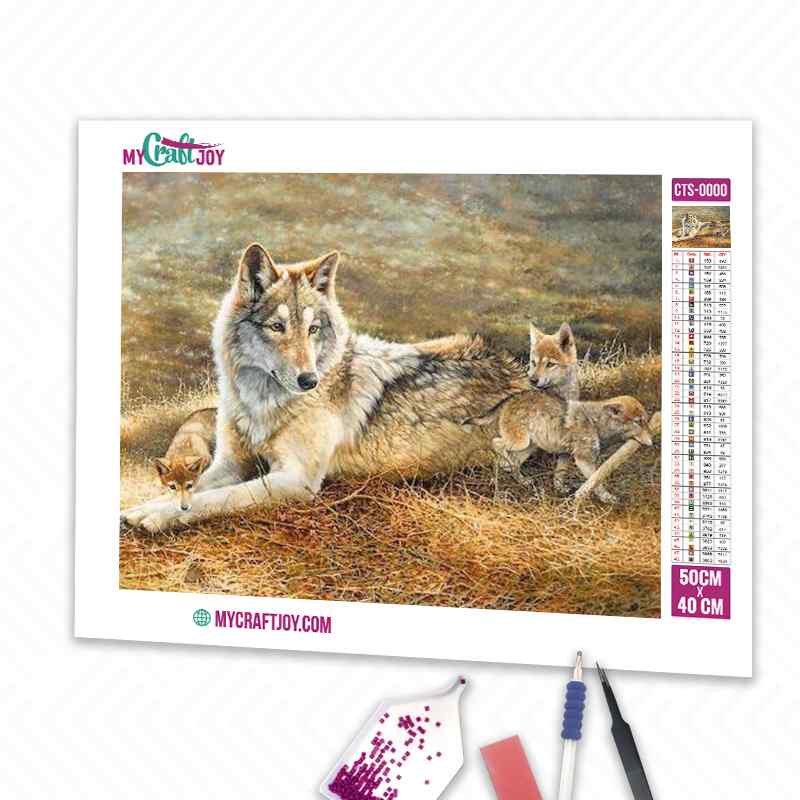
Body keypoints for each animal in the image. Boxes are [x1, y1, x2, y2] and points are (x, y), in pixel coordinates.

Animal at [122, 243, 530, 532]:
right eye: (277, 327)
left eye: (313, 329)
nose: (309, 380)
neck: (261, 402)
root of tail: (519, 371)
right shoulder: (230, 463)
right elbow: (194, 486)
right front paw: (149, 505)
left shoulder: (295, 479)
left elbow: (218, 498)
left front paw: (158, 515)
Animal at [465, 392, 652, 503]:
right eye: (638, 422)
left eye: (645, 421)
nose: (652, 443)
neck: (598, 423)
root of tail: (513, 397)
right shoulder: (583, 459)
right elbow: (596, 480)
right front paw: (607, 498)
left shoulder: (565, 455)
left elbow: (559, 474)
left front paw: (560, 489)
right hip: (521, 442)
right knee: (496, 444)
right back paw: (505, 467)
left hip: (529, 447)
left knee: (513, 462)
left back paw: (517, 479)